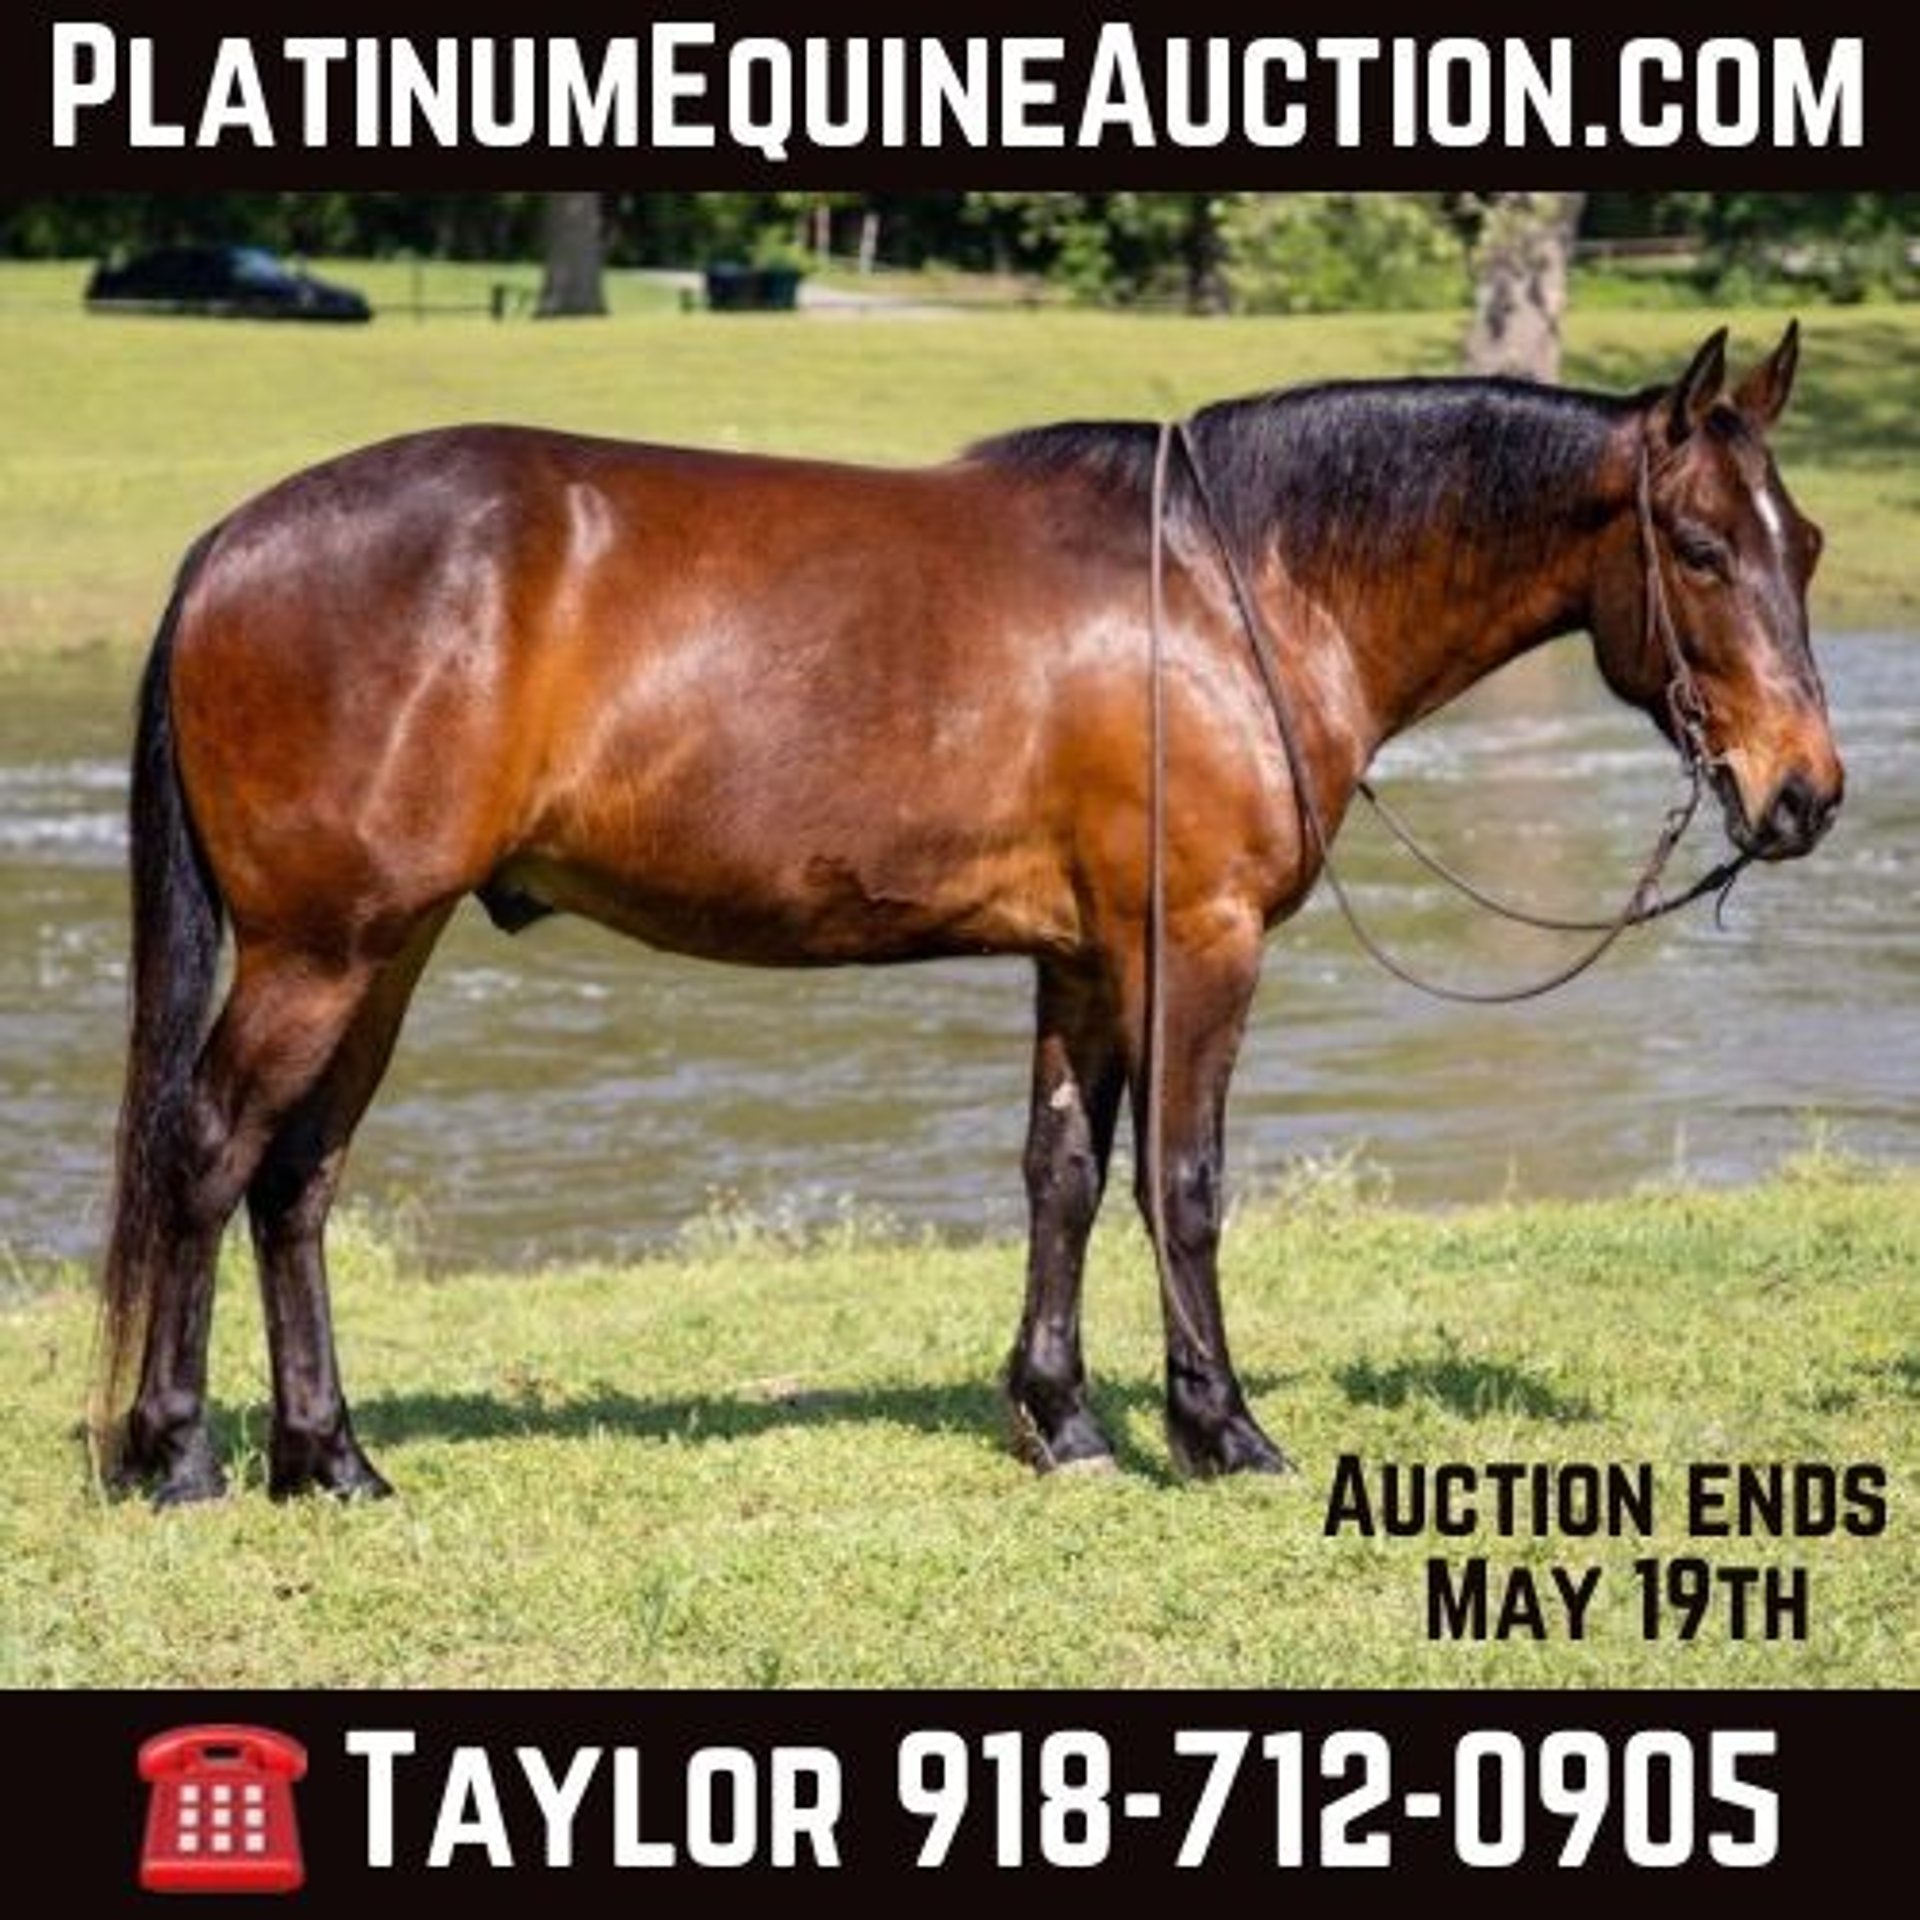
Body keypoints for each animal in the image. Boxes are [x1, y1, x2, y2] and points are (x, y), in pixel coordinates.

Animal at [97, 322, 1841, 1505]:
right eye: (1699, 546)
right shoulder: (1197, 943)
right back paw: (175, 1455)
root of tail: (227, 547)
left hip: (383, 951)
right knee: (210, 1150)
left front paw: (1061, 1420)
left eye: (1805, 543)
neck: (1231, 584)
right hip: (323, 952)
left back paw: (330, 1458)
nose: (1805, 794)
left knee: (298, 1181)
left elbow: (1061, 1178)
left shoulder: (1083, 959)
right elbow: (1184, 1184)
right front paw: (1220, 1429)